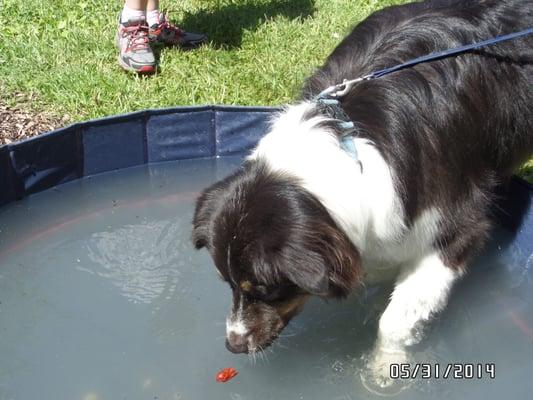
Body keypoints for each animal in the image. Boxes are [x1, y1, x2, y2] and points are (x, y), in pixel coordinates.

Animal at [191, 0, 532, 386]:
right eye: (228, 284)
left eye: (264, 289)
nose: (233, 345)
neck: (346, 144)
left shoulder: (455, 227)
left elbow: (395, 319)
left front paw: (384, 369)